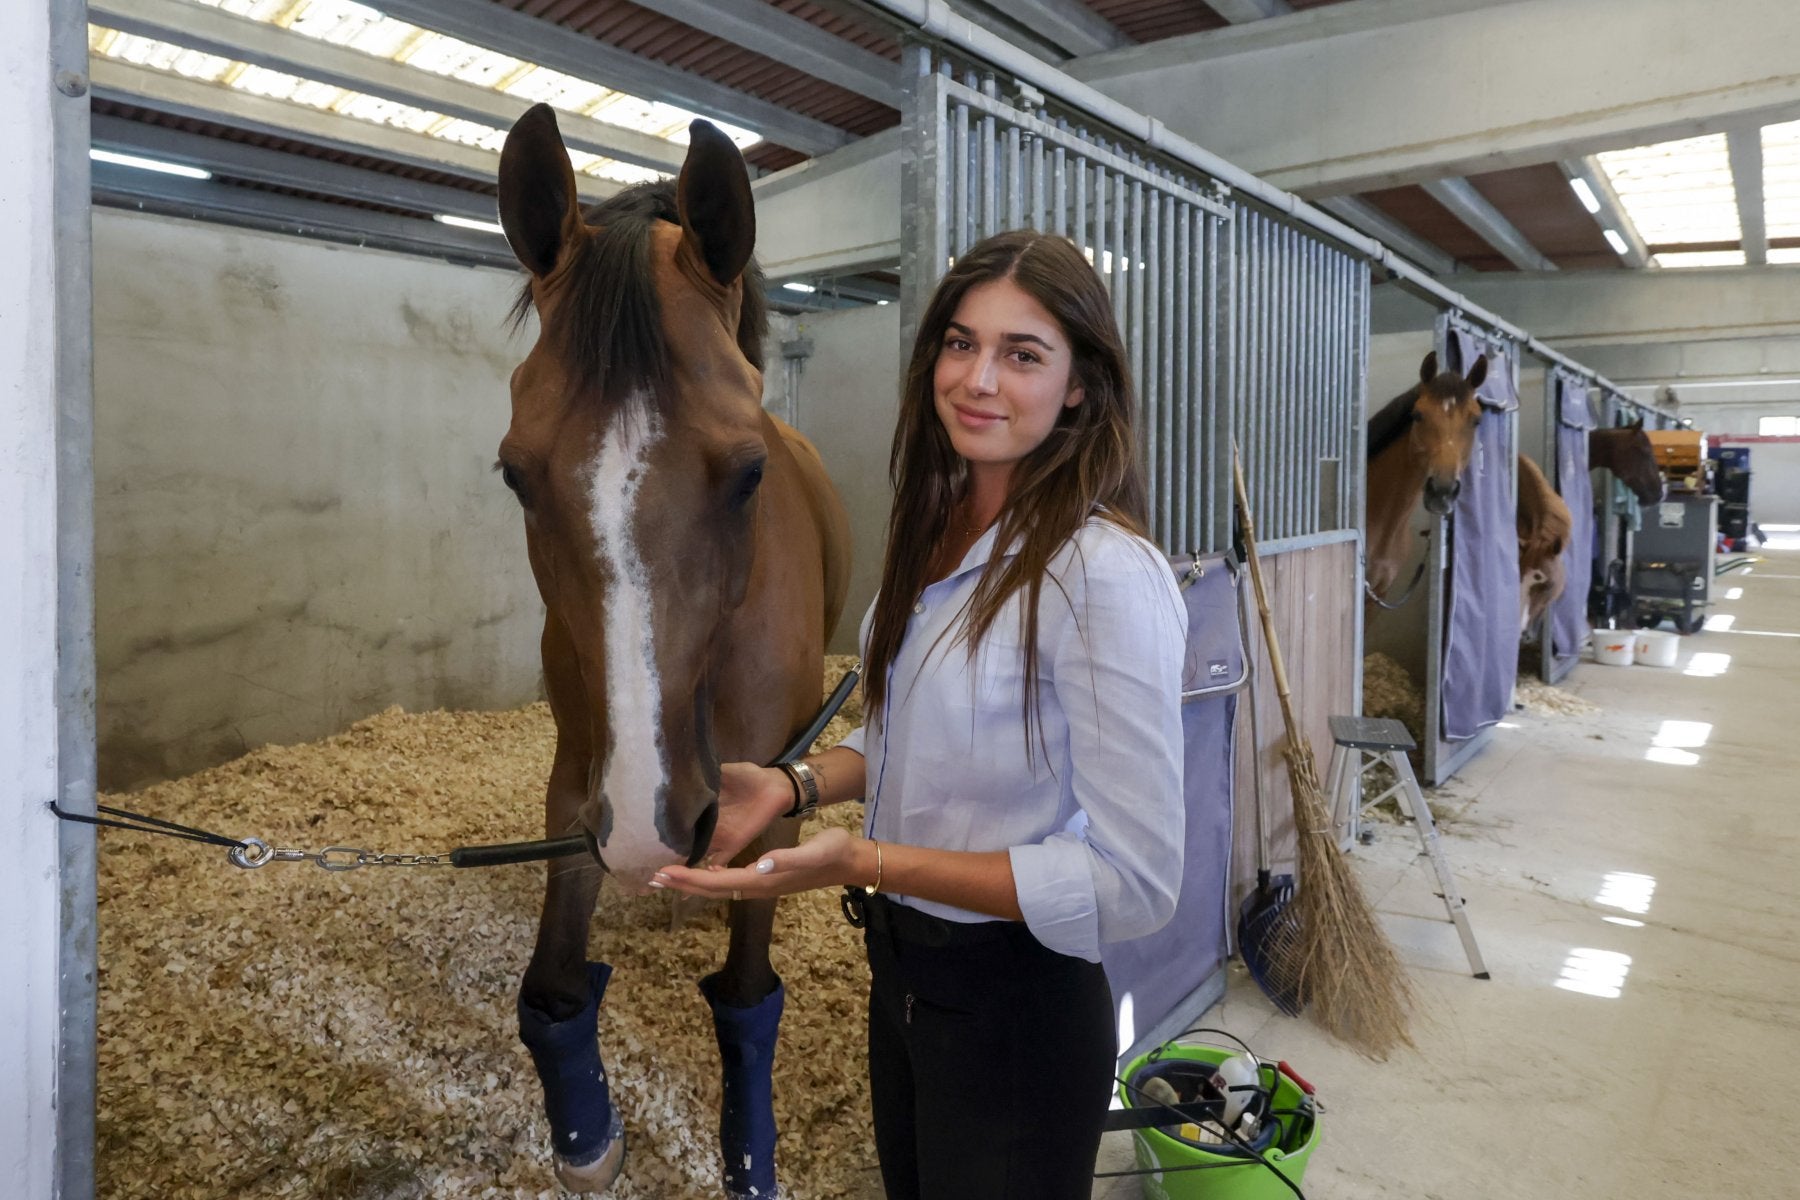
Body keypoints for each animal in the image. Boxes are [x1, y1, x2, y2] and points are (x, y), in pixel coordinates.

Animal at [496, 107, 853, 1194]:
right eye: (516, 474)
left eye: (748, 474)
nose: (658, 828)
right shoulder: (583, 786)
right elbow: (554, 987)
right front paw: (585, 1132)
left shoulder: (769, 790)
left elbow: (745, 995)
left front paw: (749, 1153)